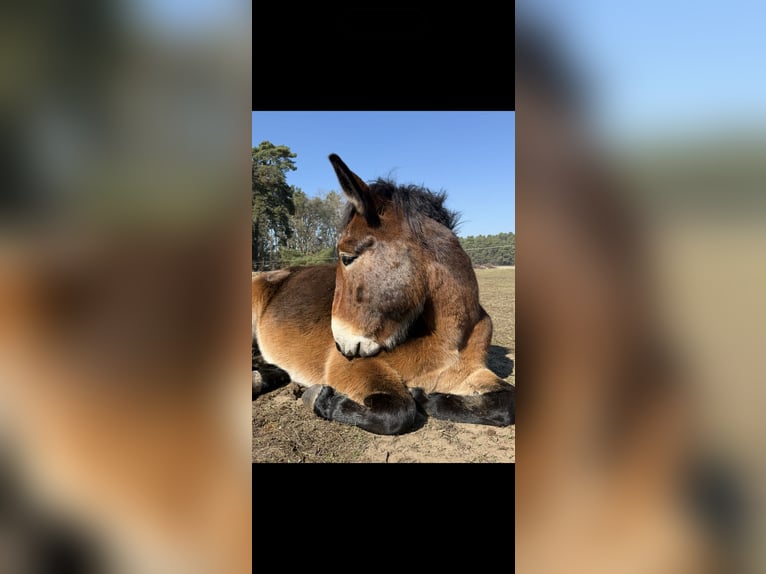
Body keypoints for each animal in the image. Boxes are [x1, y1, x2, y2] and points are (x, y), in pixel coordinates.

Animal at [251, 154, 514, 435]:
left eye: (347, 257)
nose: (340, 344)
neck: (448, 337)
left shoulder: (470, 372)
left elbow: (507, 402)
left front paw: (426, 398)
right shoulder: (353, 366)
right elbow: (397, 412)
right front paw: (320, 398)